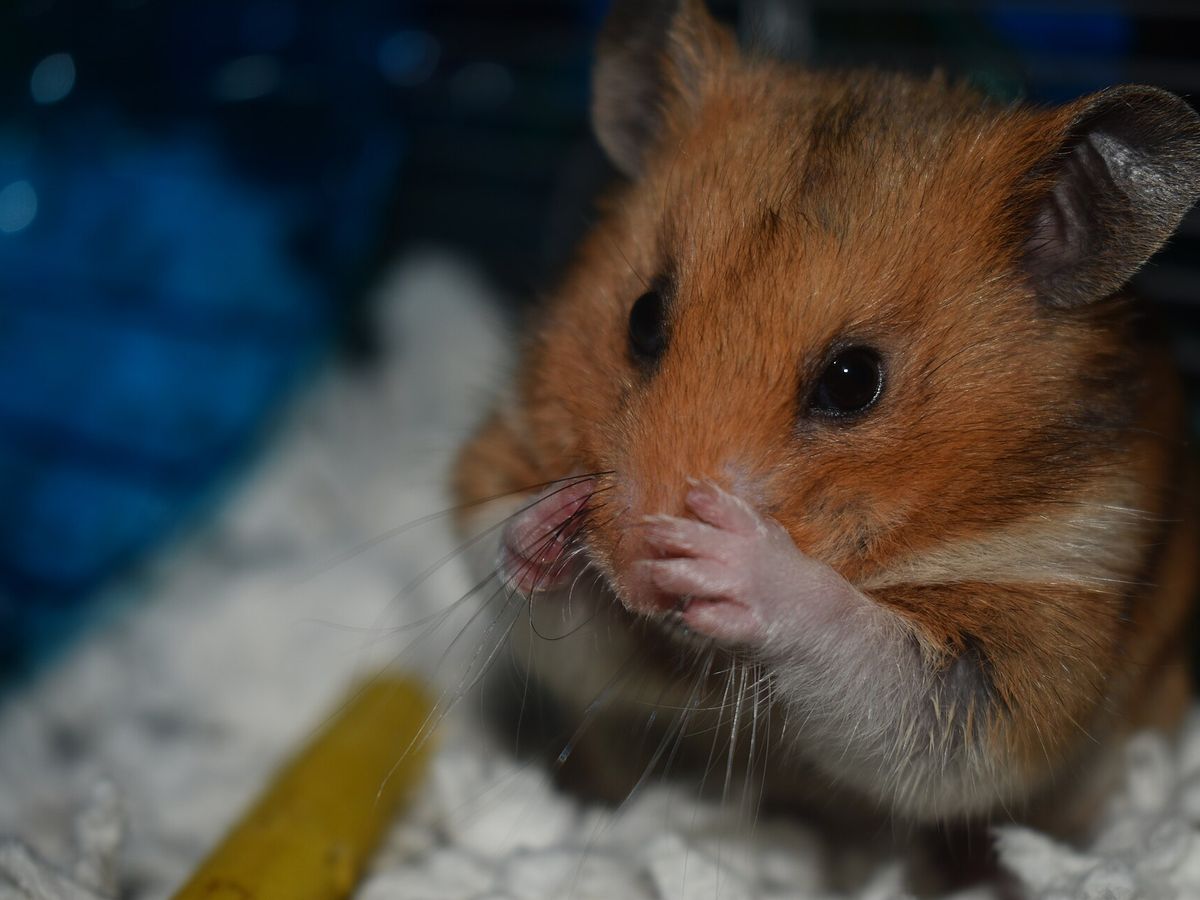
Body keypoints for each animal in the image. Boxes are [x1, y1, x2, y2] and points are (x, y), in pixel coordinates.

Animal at [452, 0, 1200, 836]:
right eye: (642, 319)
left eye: (853, 381)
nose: (642, 574)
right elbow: (500, 550)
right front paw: (554, 522)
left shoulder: (1035, 630)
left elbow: (881, 668)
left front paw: (724, 554)